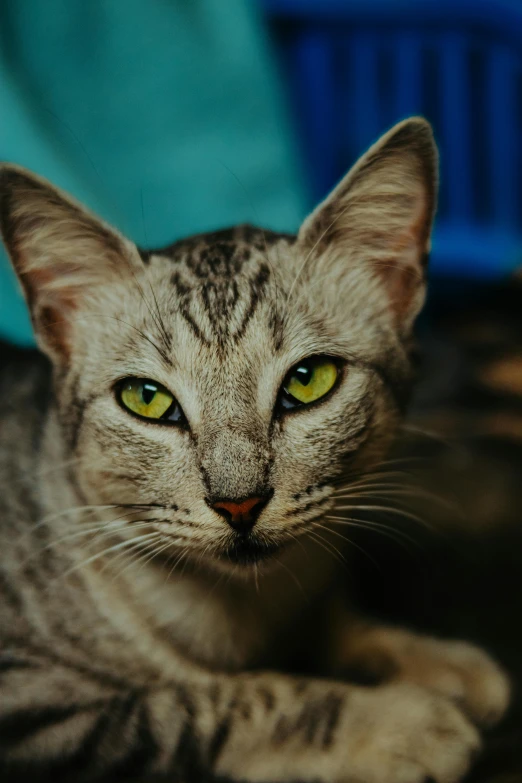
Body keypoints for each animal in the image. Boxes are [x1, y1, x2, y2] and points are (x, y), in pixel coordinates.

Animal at [0, 118, 508, 783]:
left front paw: (431, 661)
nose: (238, 503)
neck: (248, 614)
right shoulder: (39, 708)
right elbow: (222, 699)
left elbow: (335, 623)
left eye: (309, 380)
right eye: (145, 398)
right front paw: (396, 721)